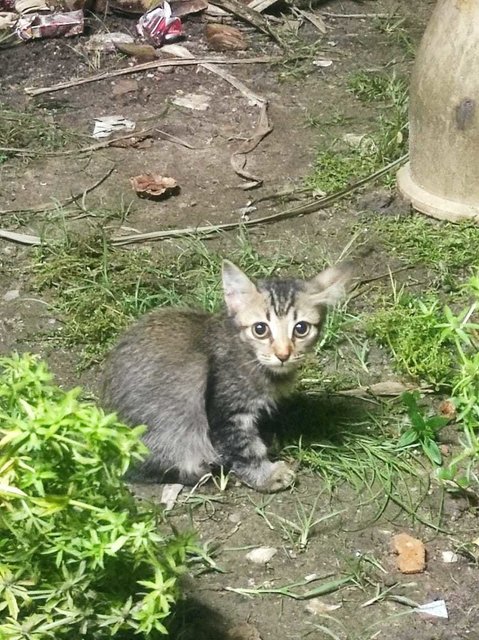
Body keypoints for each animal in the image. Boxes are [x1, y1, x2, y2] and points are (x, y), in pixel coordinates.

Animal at [101, 258, 354, 490]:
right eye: (260, 329)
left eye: (301, 329)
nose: (283, 354)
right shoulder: (227, 413)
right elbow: (244, 449)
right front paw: (266, 476)